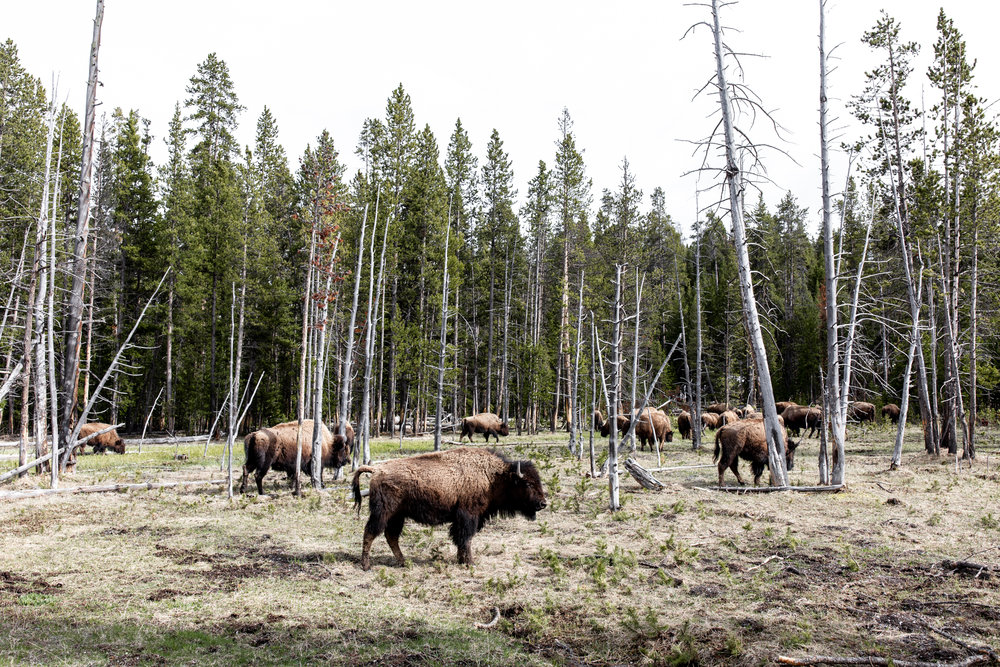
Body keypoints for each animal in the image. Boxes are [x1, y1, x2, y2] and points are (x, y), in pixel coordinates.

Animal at [352, 446, 548, 572]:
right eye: (528, 483)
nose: (543, 503)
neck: (493, 477)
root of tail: (376, 470)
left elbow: (460, 539)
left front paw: (462, 561)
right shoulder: (468, 516)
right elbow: (466, 538)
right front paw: (470, 563)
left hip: (398, 516)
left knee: (391, 536)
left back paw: (403, 562)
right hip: (383, 513)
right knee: (370, 532)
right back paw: (366, 566)